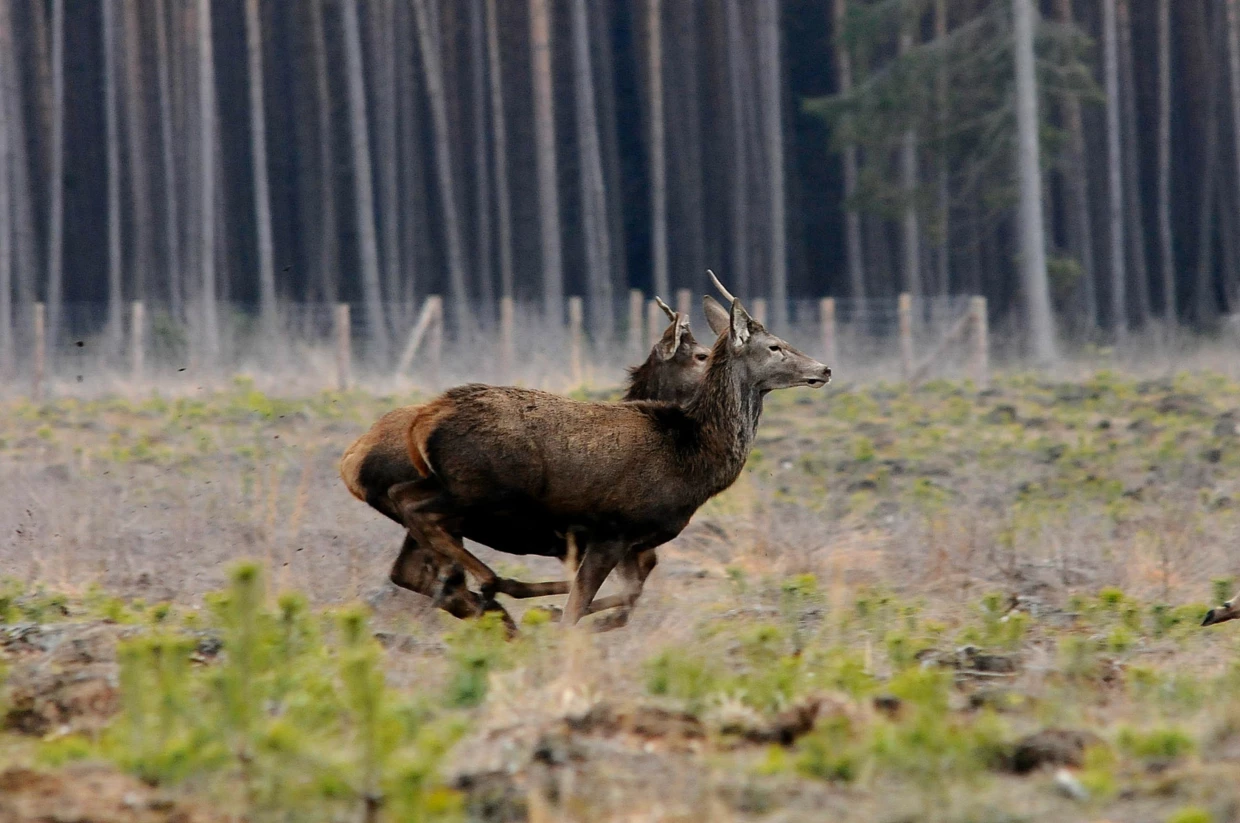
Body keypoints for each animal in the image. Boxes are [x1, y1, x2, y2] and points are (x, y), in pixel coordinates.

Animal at [389, 272, 833, 627]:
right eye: (775, 346)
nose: (825, 368)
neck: (692, 457)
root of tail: (427, 415)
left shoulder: (634, 544)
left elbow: (624, 597)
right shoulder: (613, 529)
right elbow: (577, 610)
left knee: (407, 544)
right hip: (479, 486)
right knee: (410, 504)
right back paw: (487, 582)